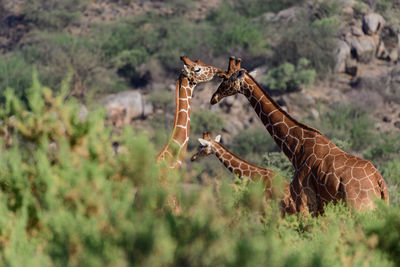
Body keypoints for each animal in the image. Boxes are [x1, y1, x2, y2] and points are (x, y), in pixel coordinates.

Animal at [211, 57, 390, 216]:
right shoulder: (319, 208)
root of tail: (379, 182)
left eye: (226, 78)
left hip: (358, 208)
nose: (213, 98)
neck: (297, 149)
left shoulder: (303, 201)